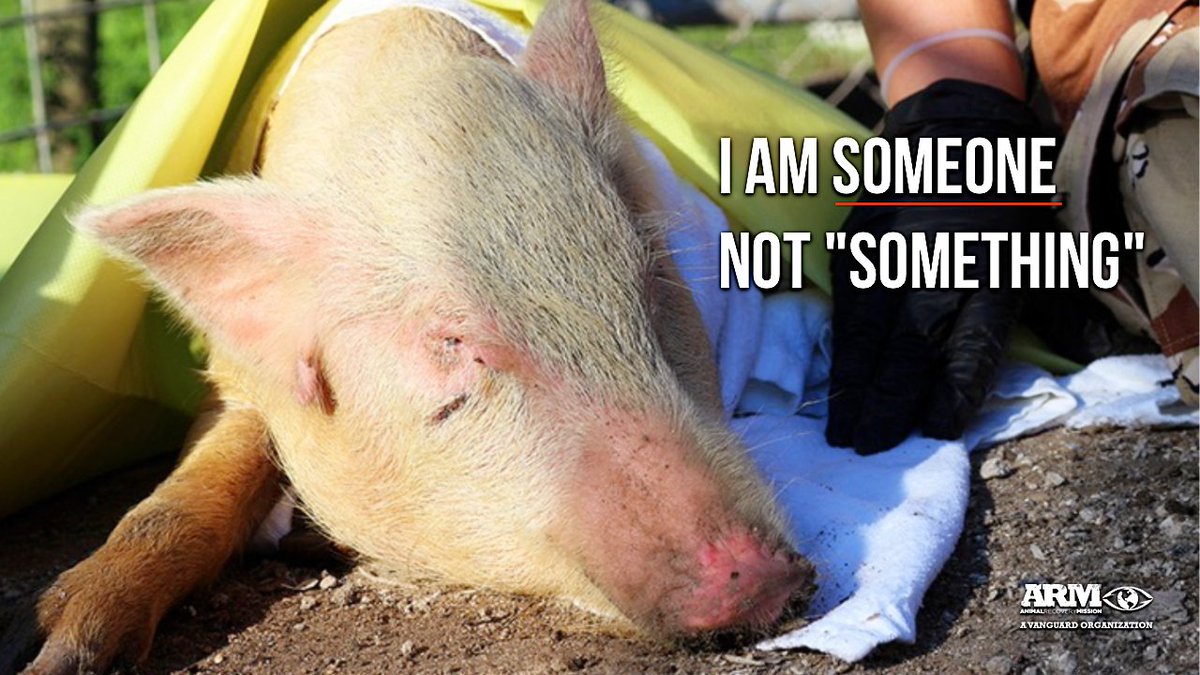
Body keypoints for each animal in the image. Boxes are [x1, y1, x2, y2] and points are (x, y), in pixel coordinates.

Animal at [8, 1, 813, 672]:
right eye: (451, 342)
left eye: (648, 282)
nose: (771, 580)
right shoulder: (234, 383)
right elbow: (197, 483)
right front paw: (60, 655)